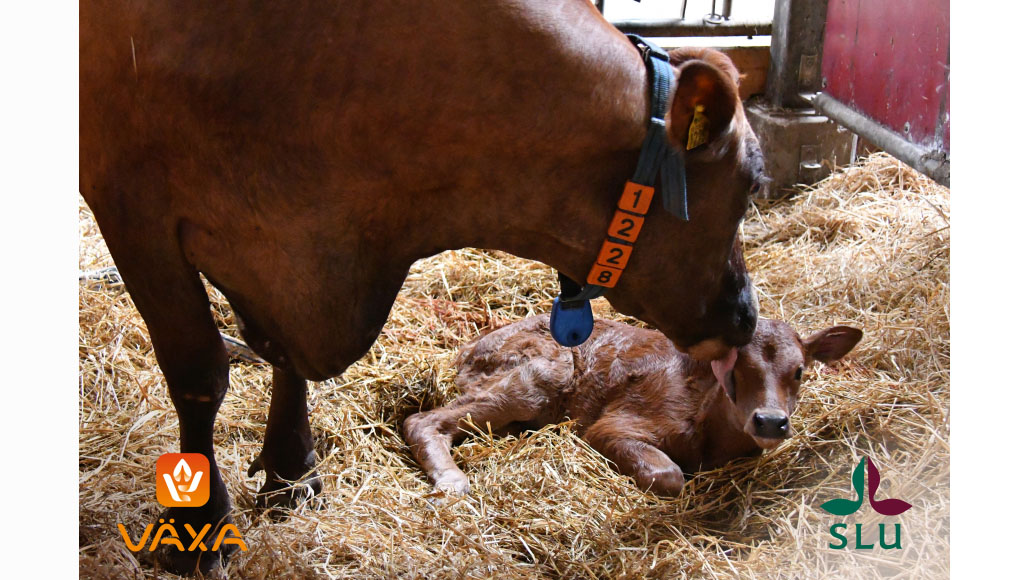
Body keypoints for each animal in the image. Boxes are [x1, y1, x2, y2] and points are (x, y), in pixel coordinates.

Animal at [80, 1, 765, 572]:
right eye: (753, 182)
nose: (747, 316)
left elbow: (281, 352)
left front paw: (292, 473)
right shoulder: (133, 205)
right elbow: (199, 373)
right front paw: (197, 531)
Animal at [405, 316, 862, 497]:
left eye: (799, 370)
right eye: (730, 369)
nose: (769, 421)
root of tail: (468, 349)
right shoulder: (616, 423)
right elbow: (669, 475)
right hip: (535, 377)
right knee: (421, 419)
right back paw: (452, 480)